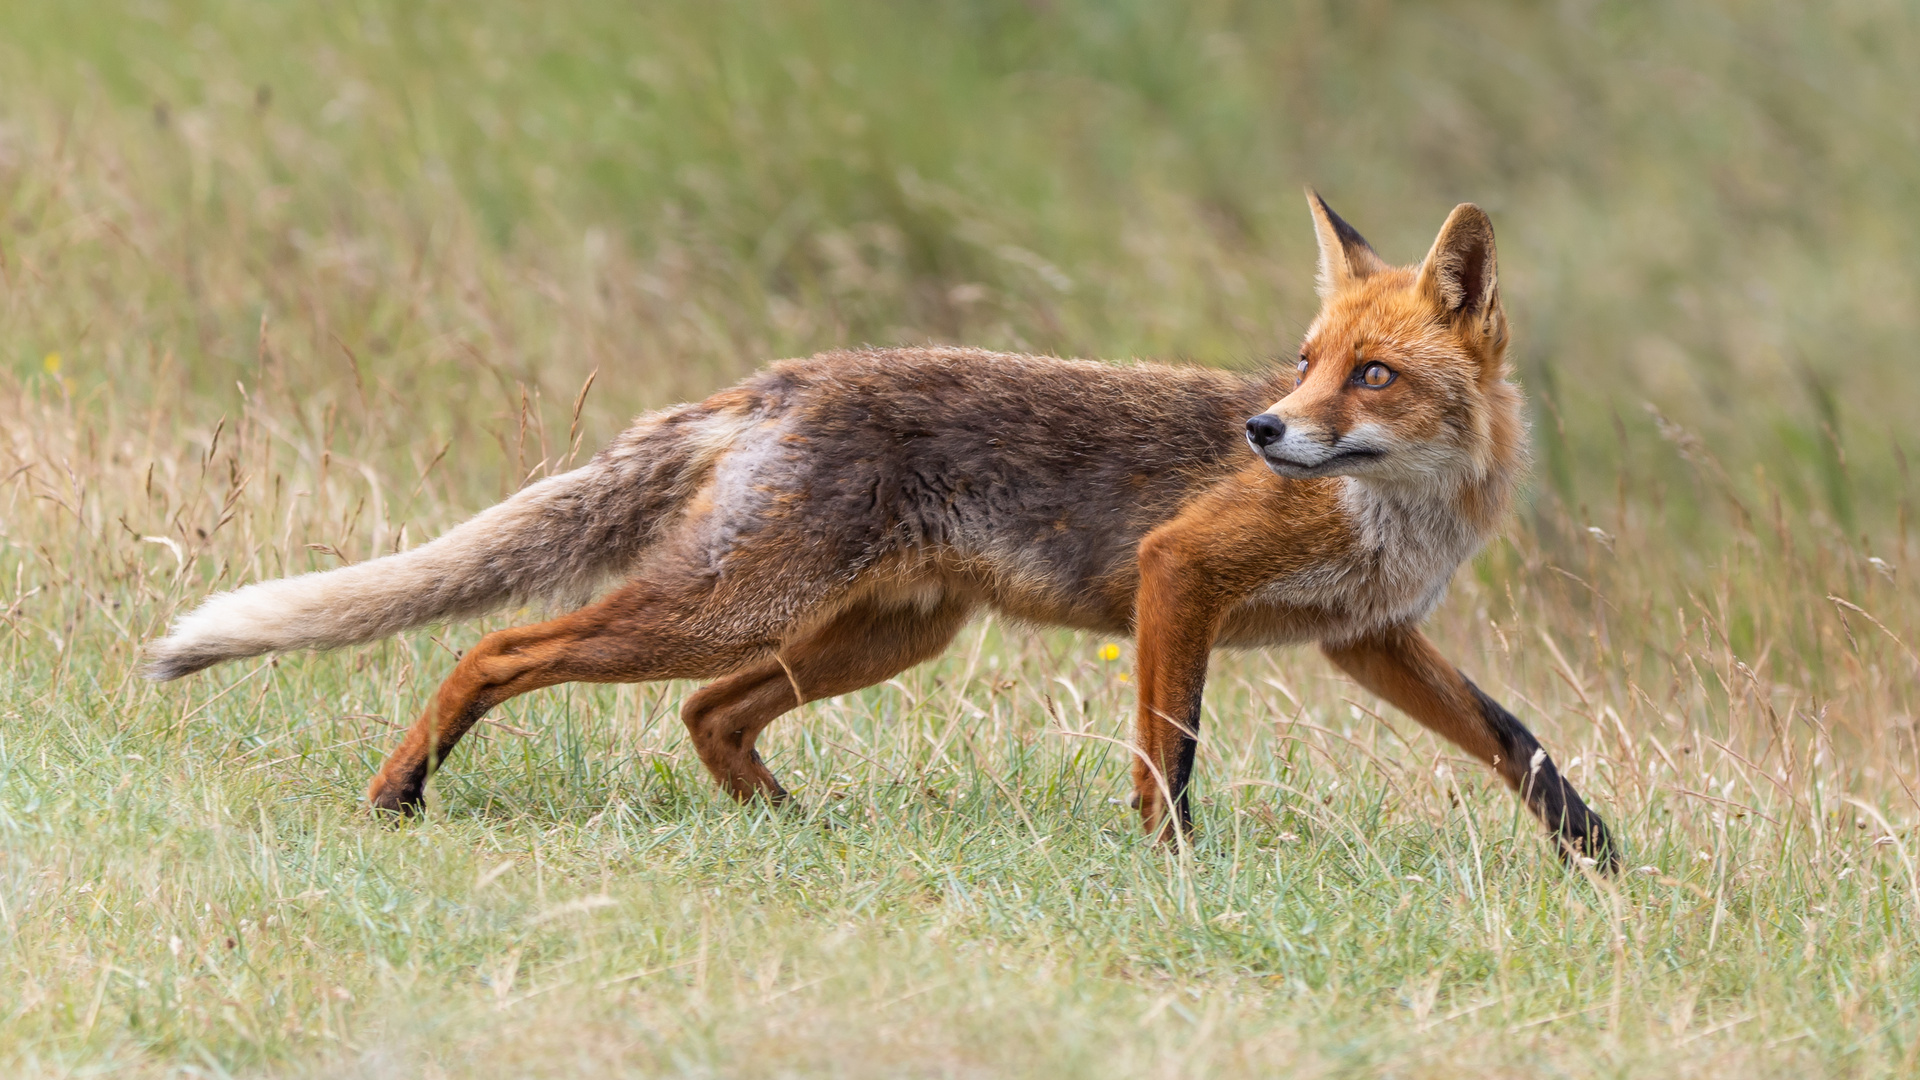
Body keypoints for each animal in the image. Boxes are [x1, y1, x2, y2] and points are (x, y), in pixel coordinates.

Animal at [149, 193, 1612, 864]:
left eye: (1371, 375)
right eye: (1305, 364)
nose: (1263, 433)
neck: (1402, 515)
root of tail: (784, 377)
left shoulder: (1367, 637)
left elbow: (1519, 742)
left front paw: (1600, 861)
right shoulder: (1180, 576)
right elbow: (1171, 755)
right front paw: (1175, 872)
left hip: (876, 640)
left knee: (709, 717)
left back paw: (794, 827)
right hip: (730, 610)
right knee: (499, 648)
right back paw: (402, 789)